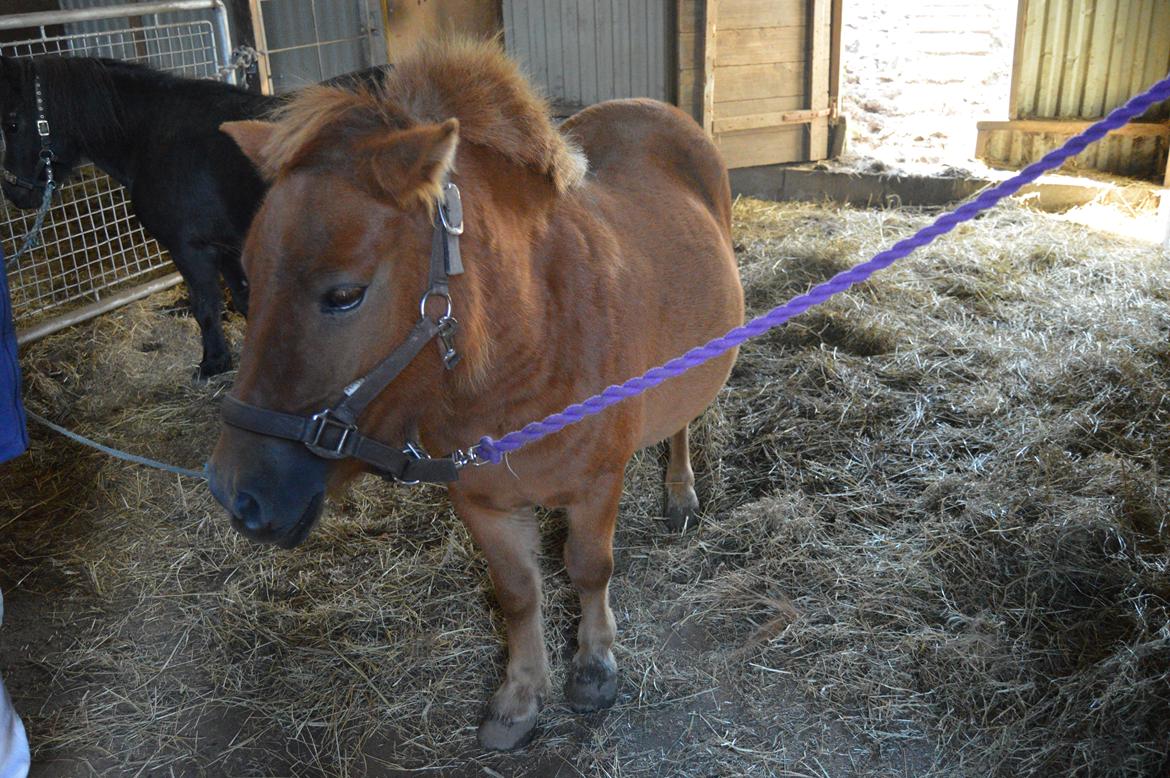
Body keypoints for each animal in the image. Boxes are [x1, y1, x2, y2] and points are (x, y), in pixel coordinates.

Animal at [0, 57, 379, 376]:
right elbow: (243, 297)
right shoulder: (225, 245)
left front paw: (213, 363)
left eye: (13, 123)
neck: (154, 138)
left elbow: (205, 307)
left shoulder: (189, 248)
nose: (14, 192)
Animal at [207, 39, 744, 748]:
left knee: (680, 421)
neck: (533, 346)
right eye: (246, 280)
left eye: (345, 293)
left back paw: (680, 492)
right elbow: (518, 593)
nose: (234, 492)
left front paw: (593, 665)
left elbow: (589, 568)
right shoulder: (482, 502)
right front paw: (520, 696)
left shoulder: (598, 483)